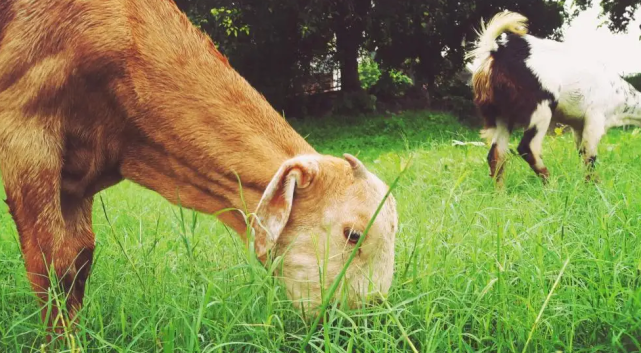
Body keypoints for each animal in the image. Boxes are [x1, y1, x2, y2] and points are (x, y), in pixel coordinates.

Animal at [0, 0, 398, 334]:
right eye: (353, 234)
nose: (365, 319)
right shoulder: (24, 131)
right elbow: (54, 264)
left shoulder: (78, 178)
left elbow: (80, 258)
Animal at [464, 11, 640, 184]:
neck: (620, 96)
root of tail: (497, 50)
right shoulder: (595, 118)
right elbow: (589, 155)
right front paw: (594, 185)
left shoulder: (578, 126)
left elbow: (582, 153)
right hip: (540, 108)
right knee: (528, 148)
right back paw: (550, 184)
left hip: (502, 115)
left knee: (496, 154)